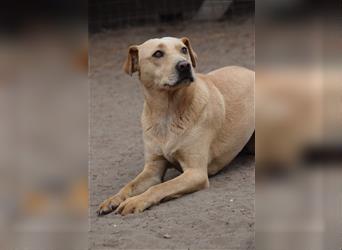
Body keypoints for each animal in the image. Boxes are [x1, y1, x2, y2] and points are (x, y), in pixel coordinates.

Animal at [97, 36, 254, 216]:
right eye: (158, 53)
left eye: (184, 50)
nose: (184, 65)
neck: (167, 113)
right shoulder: (153, 169)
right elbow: (130, 185)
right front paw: (113, 199)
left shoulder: (195, 173)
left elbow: (159, 187)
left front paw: (136, 201)